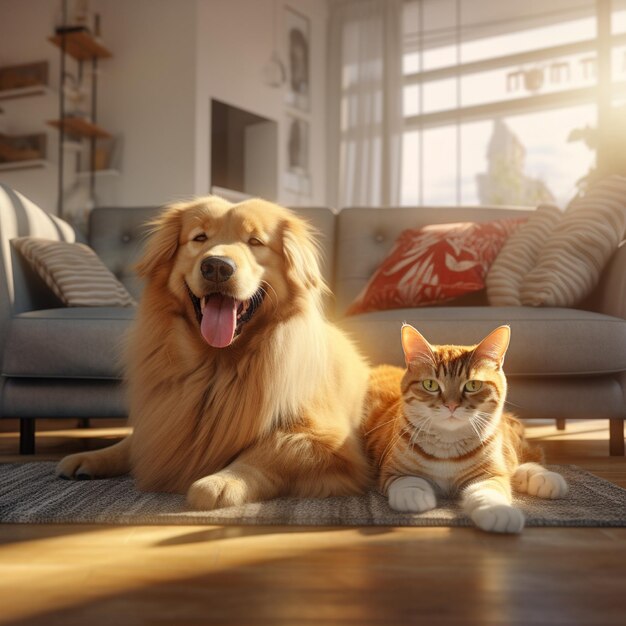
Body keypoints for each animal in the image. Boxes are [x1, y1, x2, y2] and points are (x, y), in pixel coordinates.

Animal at [56, 197, 370, 510]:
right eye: (200, 238)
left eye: (255, 241)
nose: (217, 267)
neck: (217, 363)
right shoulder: (160, 417)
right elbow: (137, 441)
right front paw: (94, 456)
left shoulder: (326, 438)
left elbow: (270, 448)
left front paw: (222, 481)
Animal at [360, 322, 564, 532]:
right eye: (430, 384)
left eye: (473, 385)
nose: (451, 405)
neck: (447, 445)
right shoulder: (391, 469)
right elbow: (408, 481)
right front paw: (414, 496)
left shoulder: (489, 474)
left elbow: (490, 489)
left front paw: (498, 511)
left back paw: (543, 477)